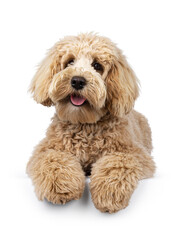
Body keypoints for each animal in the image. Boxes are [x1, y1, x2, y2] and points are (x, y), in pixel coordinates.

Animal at [26, 32, 155, 213]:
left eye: (97, 65)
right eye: (70, 62)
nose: (77, 81)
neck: (85, 124)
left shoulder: (135, 153)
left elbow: (118, 163)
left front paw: (108, 193)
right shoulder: (46, 149)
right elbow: (53, 159)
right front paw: (61, 186)